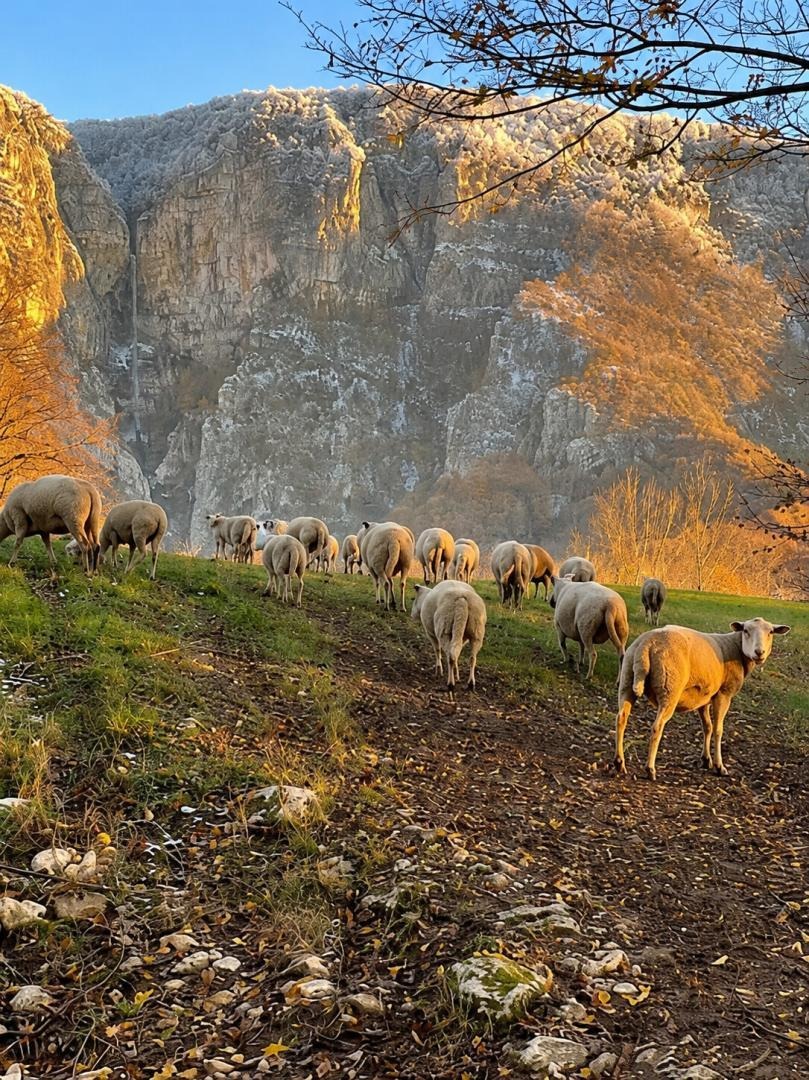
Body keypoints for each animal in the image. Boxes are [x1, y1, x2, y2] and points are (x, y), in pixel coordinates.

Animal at [615, 618, 790, 781]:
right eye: (746, 630)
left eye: (771, 632)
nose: (759, 652)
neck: (736, 648)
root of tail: (646, 645)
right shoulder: (723, 694)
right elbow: (718, 730)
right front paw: (720, 766)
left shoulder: (703, 697)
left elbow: (707, 727)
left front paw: (706, 760)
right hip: (669, 688)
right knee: (657, 727)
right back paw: (650, 769)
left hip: (626, 680)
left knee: (621, 718)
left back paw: (619, 763)